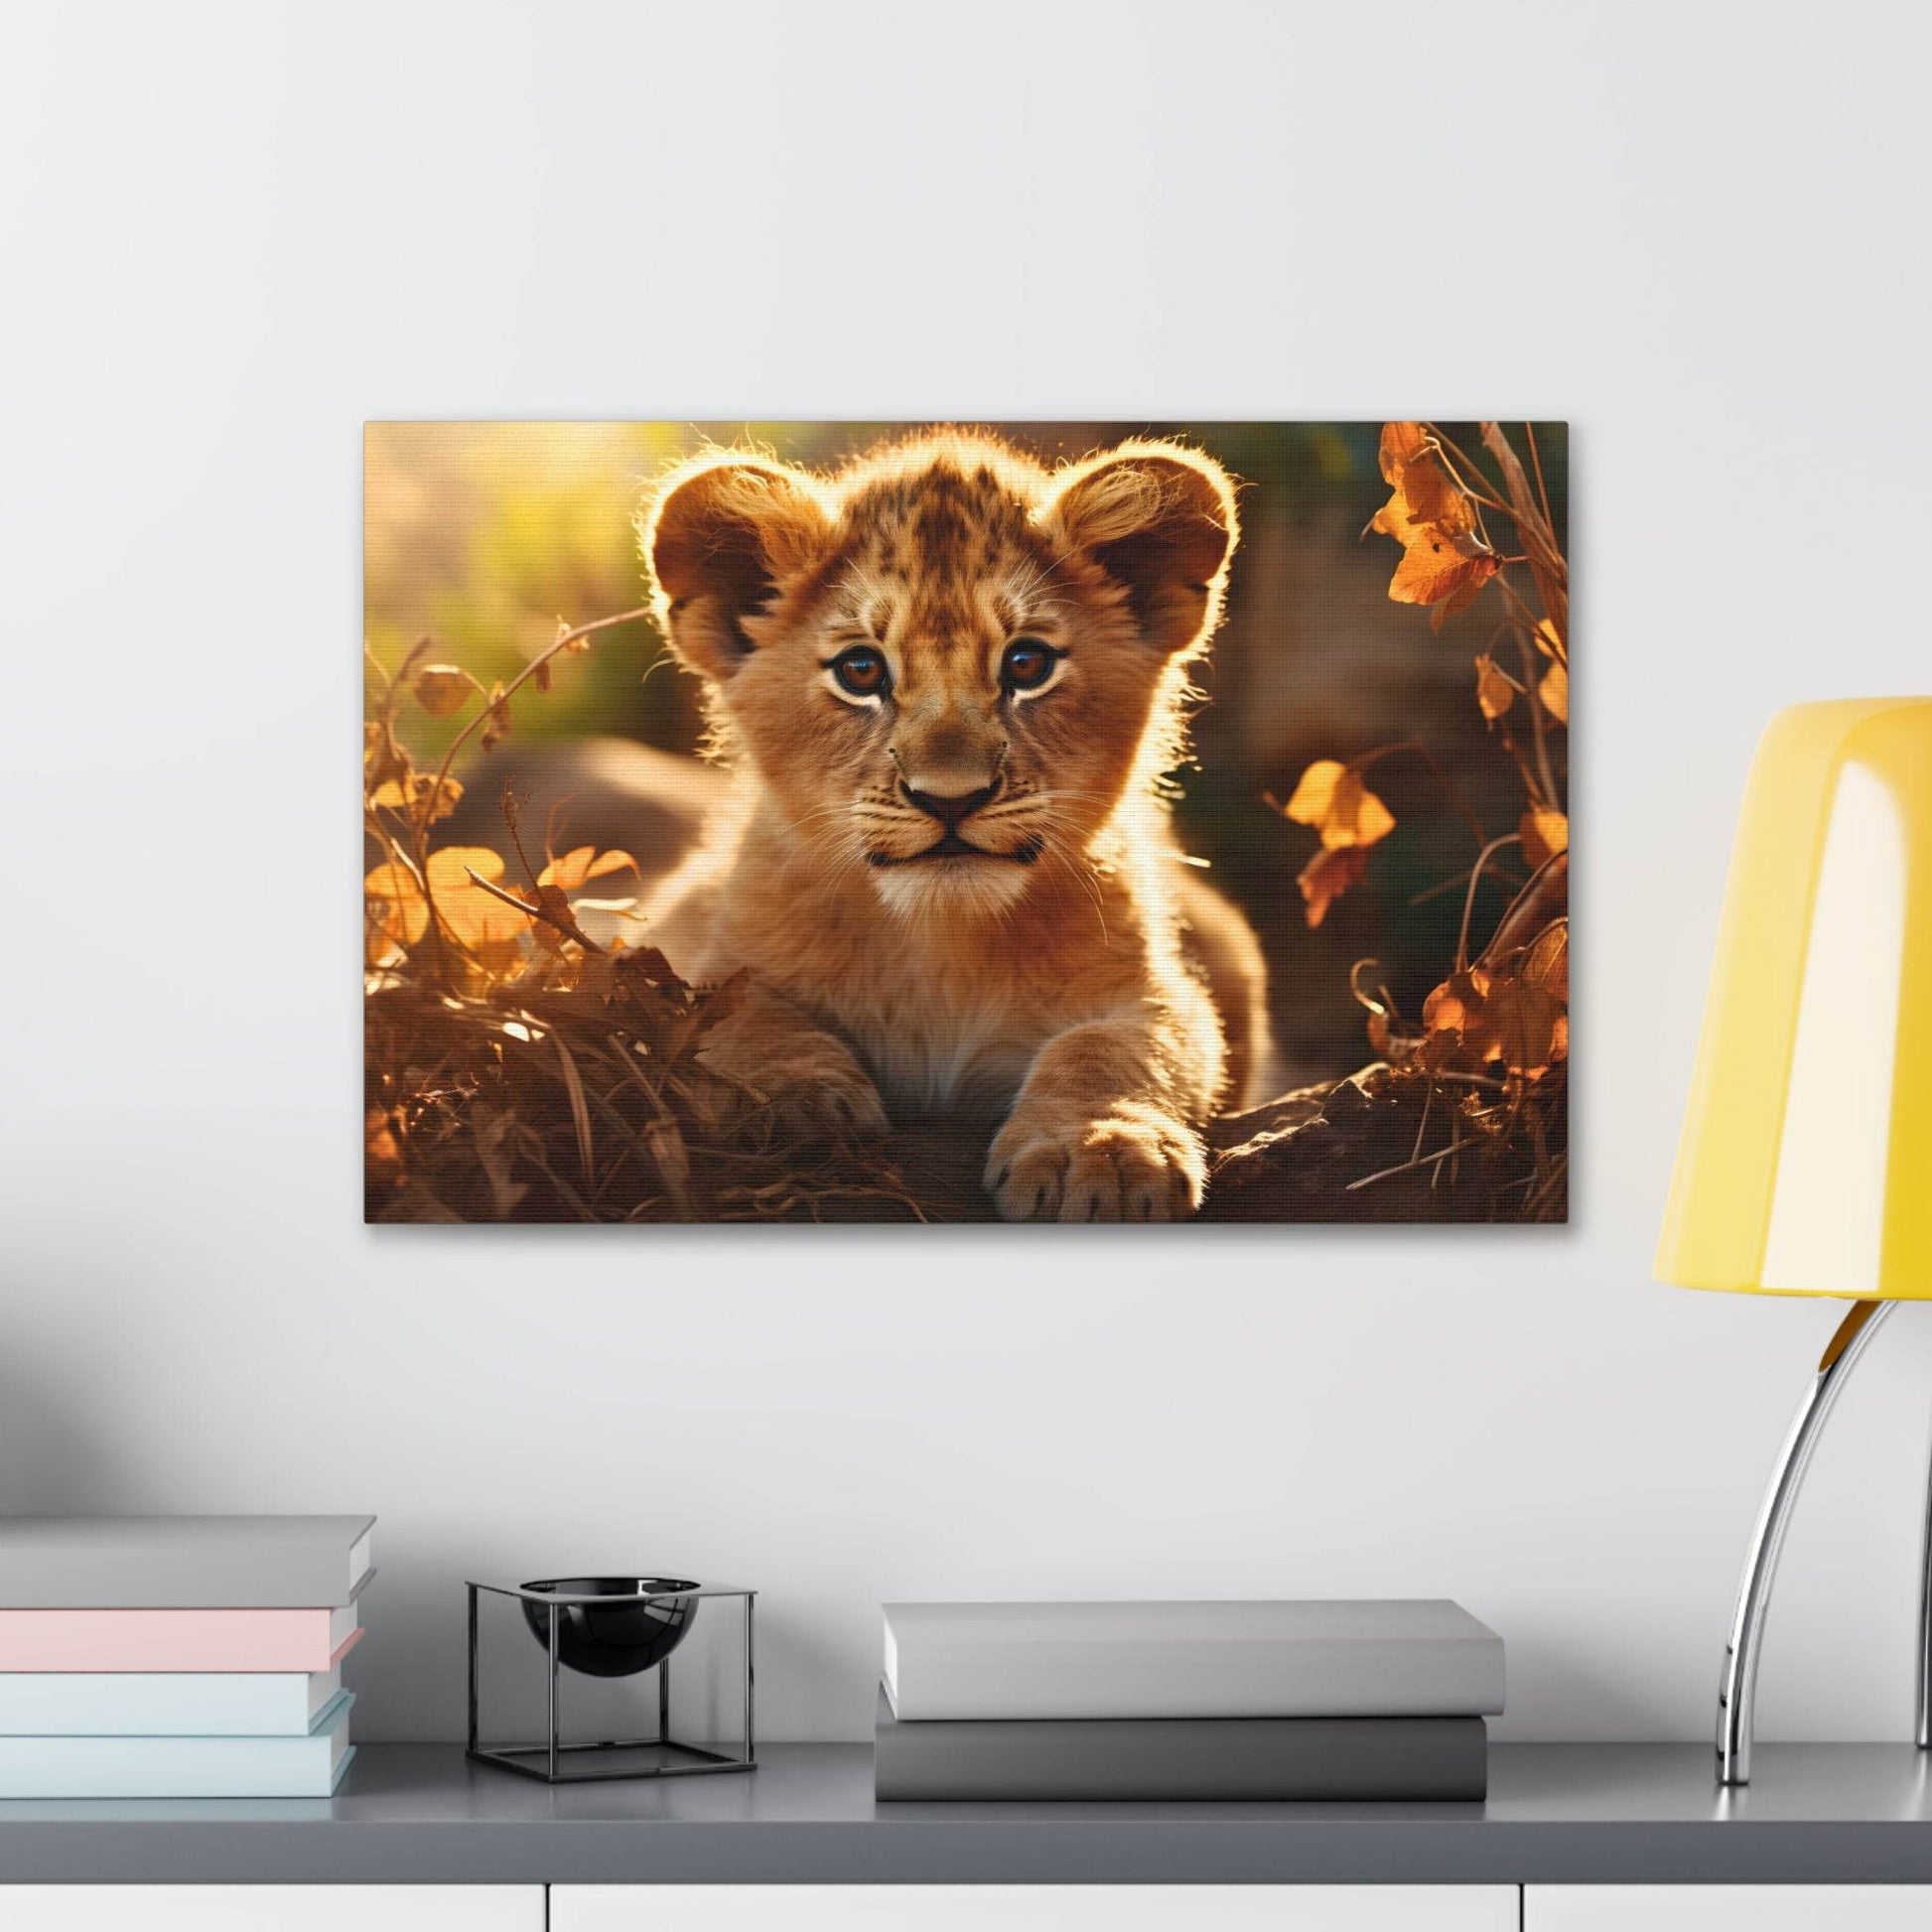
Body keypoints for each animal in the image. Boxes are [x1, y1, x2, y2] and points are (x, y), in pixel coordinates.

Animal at [638, 428, 1275, 1222]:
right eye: (860, 670)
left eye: (1027, 664)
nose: (949, 799)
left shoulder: (1160, 993)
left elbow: (1113, 1049)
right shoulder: (693, 946)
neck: (939, 945)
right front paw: (789, 1099)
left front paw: (1100, 1149)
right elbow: (737, 1011)